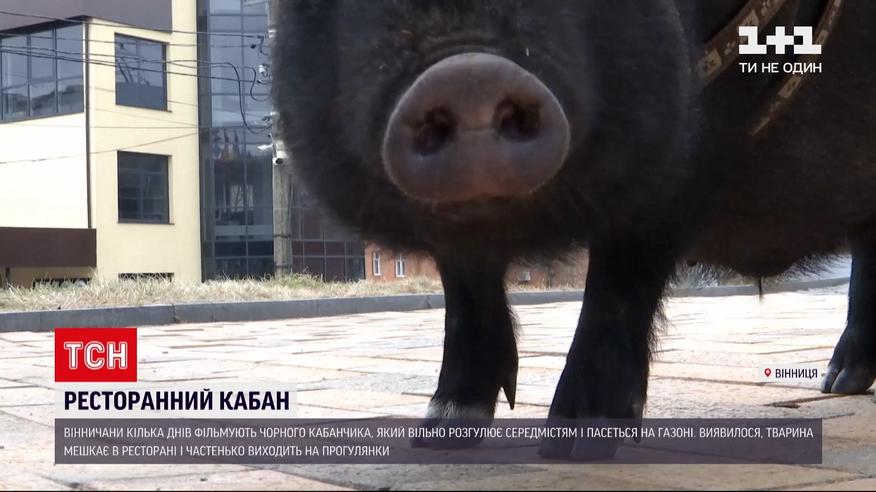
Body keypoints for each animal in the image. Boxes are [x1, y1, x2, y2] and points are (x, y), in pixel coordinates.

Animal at [271, 0, 876, 459]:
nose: (467, 74)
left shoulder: (691, 122)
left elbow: (623, 267)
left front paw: (575, 439)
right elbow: (464, 281)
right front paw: (440, 432)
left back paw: (839, 382)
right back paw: (839, 383)